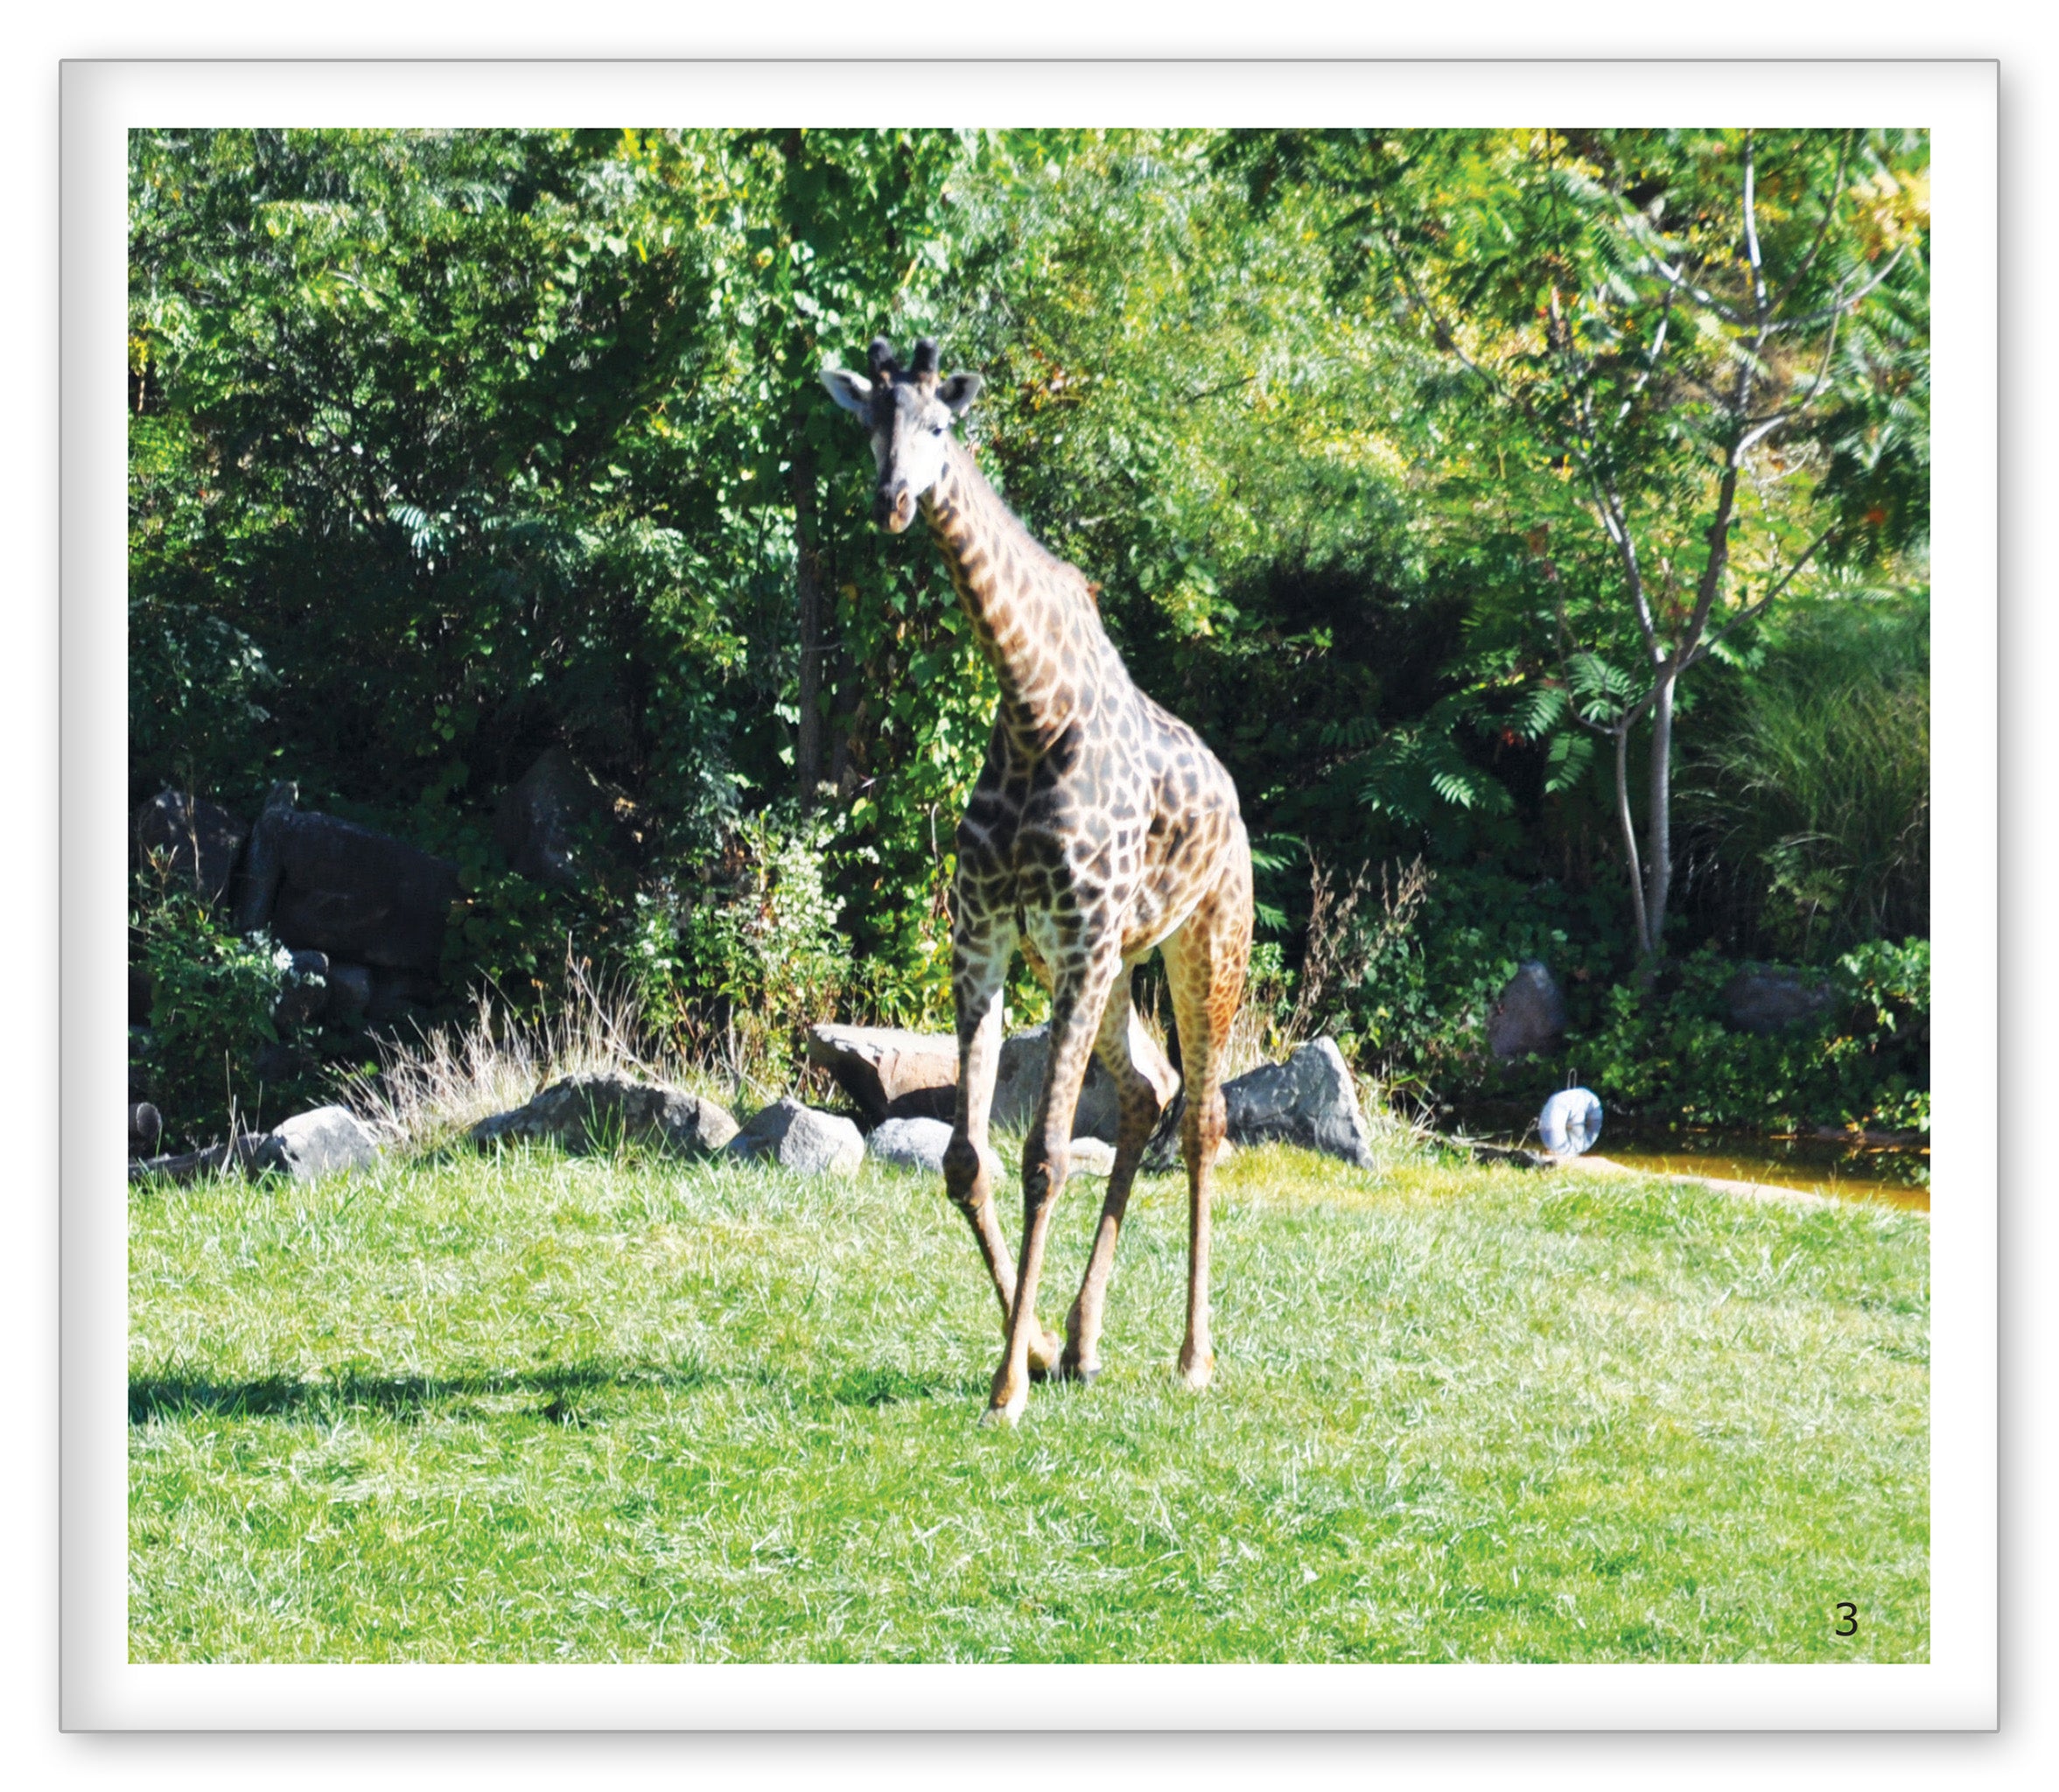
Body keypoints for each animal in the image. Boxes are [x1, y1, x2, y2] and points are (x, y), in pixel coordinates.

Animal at [824, 336, 1253, 1424]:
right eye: (867, 422)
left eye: (940, 425)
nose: (894, 499)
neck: (1030, 710)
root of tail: (1233, 798)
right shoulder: (986, 941)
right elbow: (965, 1157)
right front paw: (1039, 1350)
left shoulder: (1082, 938)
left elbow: (1044, 1156)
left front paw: (1008, 1381)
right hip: (1105, 968)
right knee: (1145, 1092)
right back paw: (1085, 1338)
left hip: (1203, 940)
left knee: (1202, 1117)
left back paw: (1194, 1356)